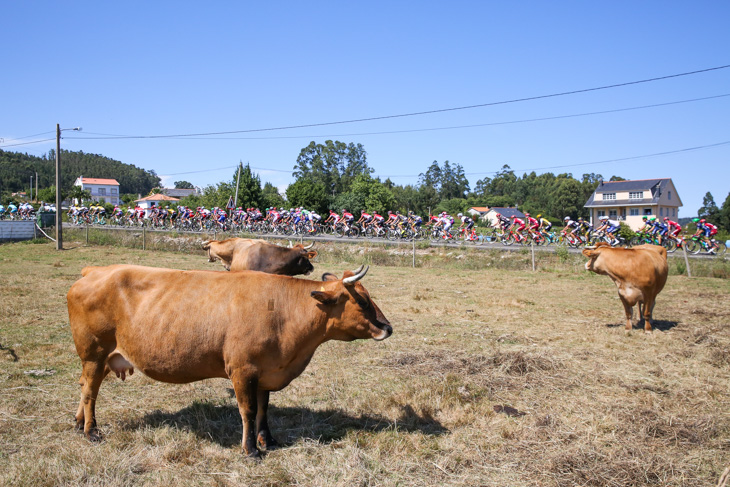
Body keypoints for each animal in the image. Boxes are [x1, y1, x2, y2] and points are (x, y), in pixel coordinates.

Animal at [67, 264, 392, 458]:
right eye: (363, 301)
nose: (388, 328)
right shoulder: (242, 370)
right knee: (91, 390)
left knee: (83, 385)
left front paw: (267, 441)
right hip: (94, 352)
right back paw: (91, 430)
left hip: (101, 357)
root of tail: (95, 271)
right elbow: (247, 410)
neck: (283, 310)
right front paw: (250, 450)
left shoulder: (266, 373)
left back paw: (78, 422)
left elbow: (263, 410)